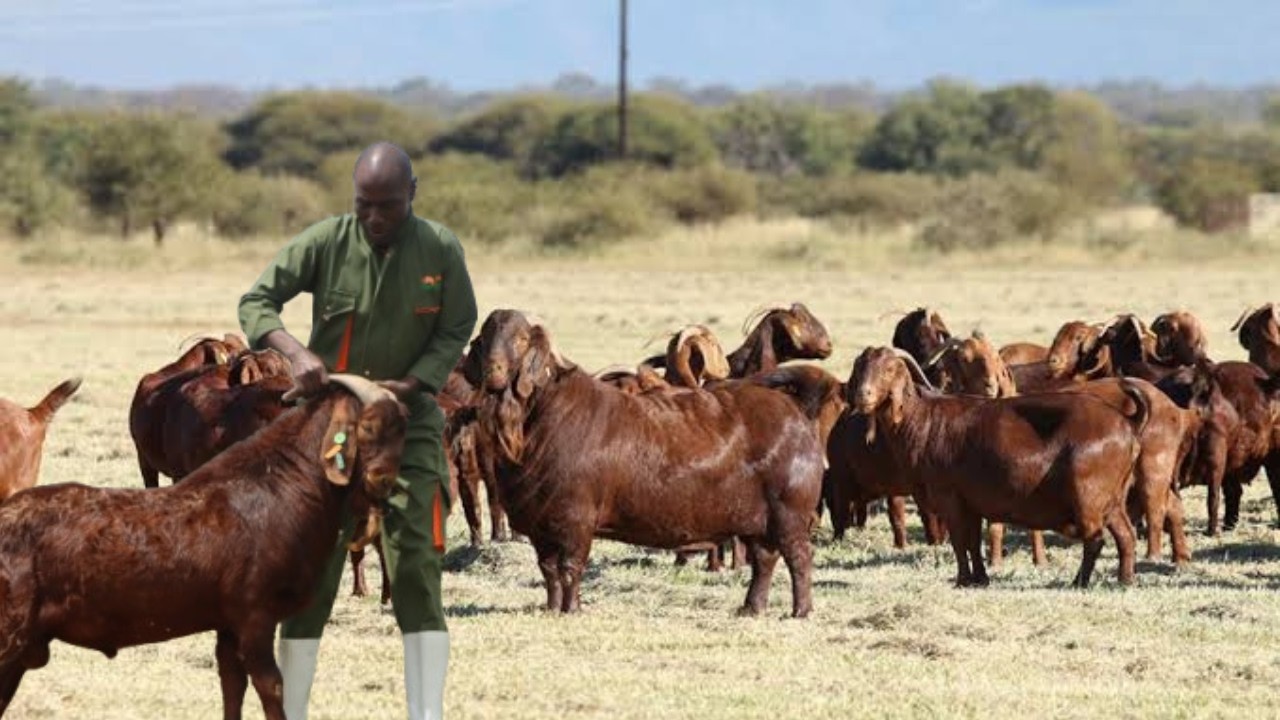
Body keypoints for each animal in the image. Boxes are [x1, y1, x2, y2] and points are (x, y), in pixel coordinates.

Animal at [0, 376, 408, 719]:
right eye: (369, 426)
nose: (386, 482)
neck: (283, 486)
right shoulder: (255, 618)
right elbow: (272, 688)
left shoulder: (228, 626)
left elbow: (232, 686)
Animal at [465, 310, 825, 617]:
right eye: (485, 336)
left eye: (521, 339)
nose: (493, 371)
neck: (531, 425)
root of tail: (796, 412)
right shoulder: (540, 525)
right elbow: (549, 571)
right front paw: (552, 608)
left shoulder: (575, 522)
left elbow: (570, 569)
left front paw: (572, 609)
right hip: (758, 523)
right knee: (764, 560)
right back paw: (751, 607)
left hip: (789, 516)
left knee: (799, 558)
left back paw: (801, 611)